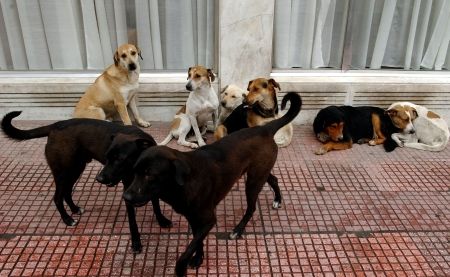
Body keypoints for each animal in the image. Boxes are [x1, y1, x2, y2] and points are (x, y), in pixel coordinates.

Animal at [0, 110, 171, 252]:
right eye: (107, 157)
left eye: (120, 159)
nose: (99, 179)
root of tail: (55, 126)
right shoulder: (127, 190)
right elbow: (132, 221)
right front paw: (136, 242)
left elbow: (156, 205)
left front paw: (161, 221)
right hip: (63, 172)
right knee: (57, 197)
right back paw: (67, 219)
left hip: (76, 169)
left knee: (67, 192)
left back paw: (75, 209)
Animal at [122, 91, 302, 274]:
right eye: (134, 171)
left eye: (149, 175)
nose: (125, 197)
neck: (184, 183)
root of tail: (264, 128)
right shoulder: (194, 219)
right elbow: (197, 242)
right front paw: (199, 258)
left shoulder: (208, 221)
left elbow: (188, 250)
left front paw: (183, 266)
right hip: (259, 172)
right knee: (274, 179)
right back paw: (277, 200)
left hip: (253, 181)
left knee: (251, 208)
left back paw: (238, 230)